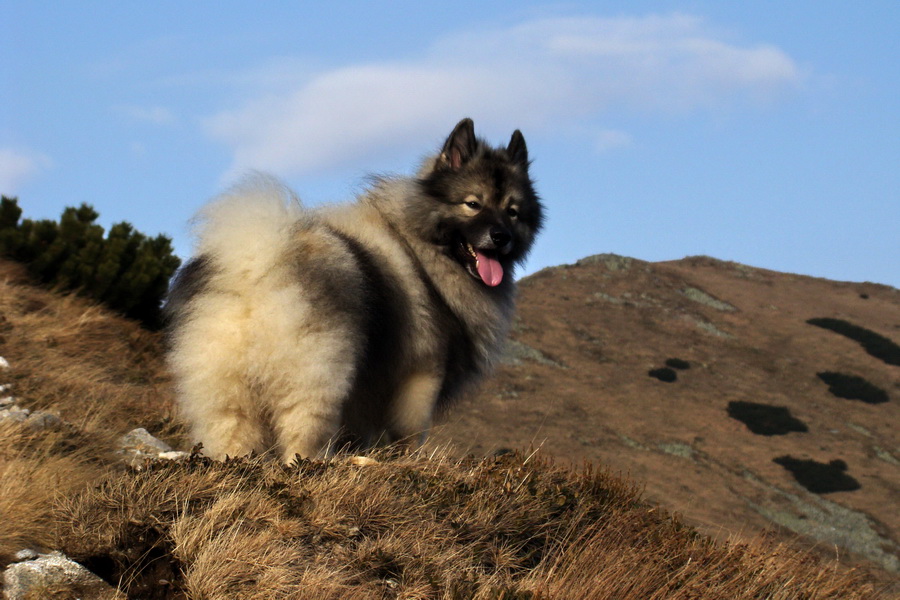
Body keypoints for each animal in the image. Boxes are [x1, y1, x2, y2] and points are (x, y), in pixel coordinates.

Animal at [163, 119, 540, 462]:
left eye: (512, 212)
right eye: (472, 204)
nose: (501, 237)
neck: (419, 244)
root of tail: (254, 262)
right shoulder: (421, 376)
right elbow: (409, 434)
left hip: (225, 393)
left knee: (232, 436)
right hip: (317, 379)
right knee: (302, 435)